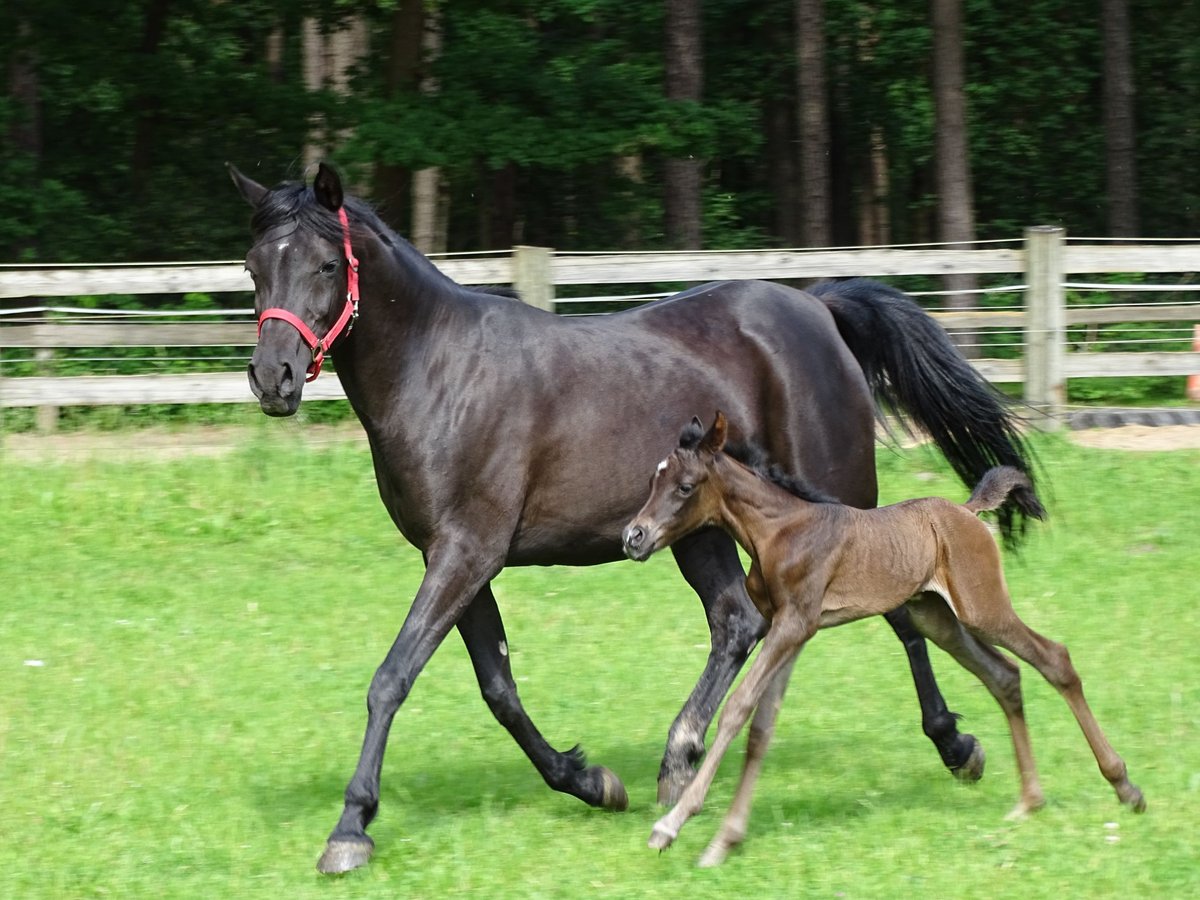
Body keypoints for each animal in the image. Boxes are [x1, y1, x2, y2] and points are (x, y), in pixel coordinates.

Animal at [229, 162, 1036, 873]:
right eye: (254, 266)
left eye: (326, 265)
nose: (273, 379)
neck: (441, 372)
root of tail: (818, 308)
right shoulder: (461, 557)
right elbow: (499, 688)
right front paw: (591, 781)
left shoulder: (466, 551)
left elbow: (392, 678)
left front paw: (350, 830)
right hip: (702, 527)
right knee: (737, 620)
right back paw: (679, 758)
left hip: (838, 499)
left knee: (896, 610)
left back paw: (955, 745)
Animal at [624, 415, 1147, 868]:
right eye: (651, 480)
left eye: (685, 487)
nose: (634, 537)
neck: (778, 530)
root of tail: (967, 511)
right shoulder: (790, 630)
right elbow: (761, 727)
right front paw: (725, 841)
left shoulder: (794, 625)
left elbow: (736, 711)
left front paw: (671, 827)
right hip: (937, 617)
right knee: (1005, 674)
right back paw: (1030, 800)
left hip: (982, 608)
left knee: (1054, 659)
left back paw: (1125, 787)